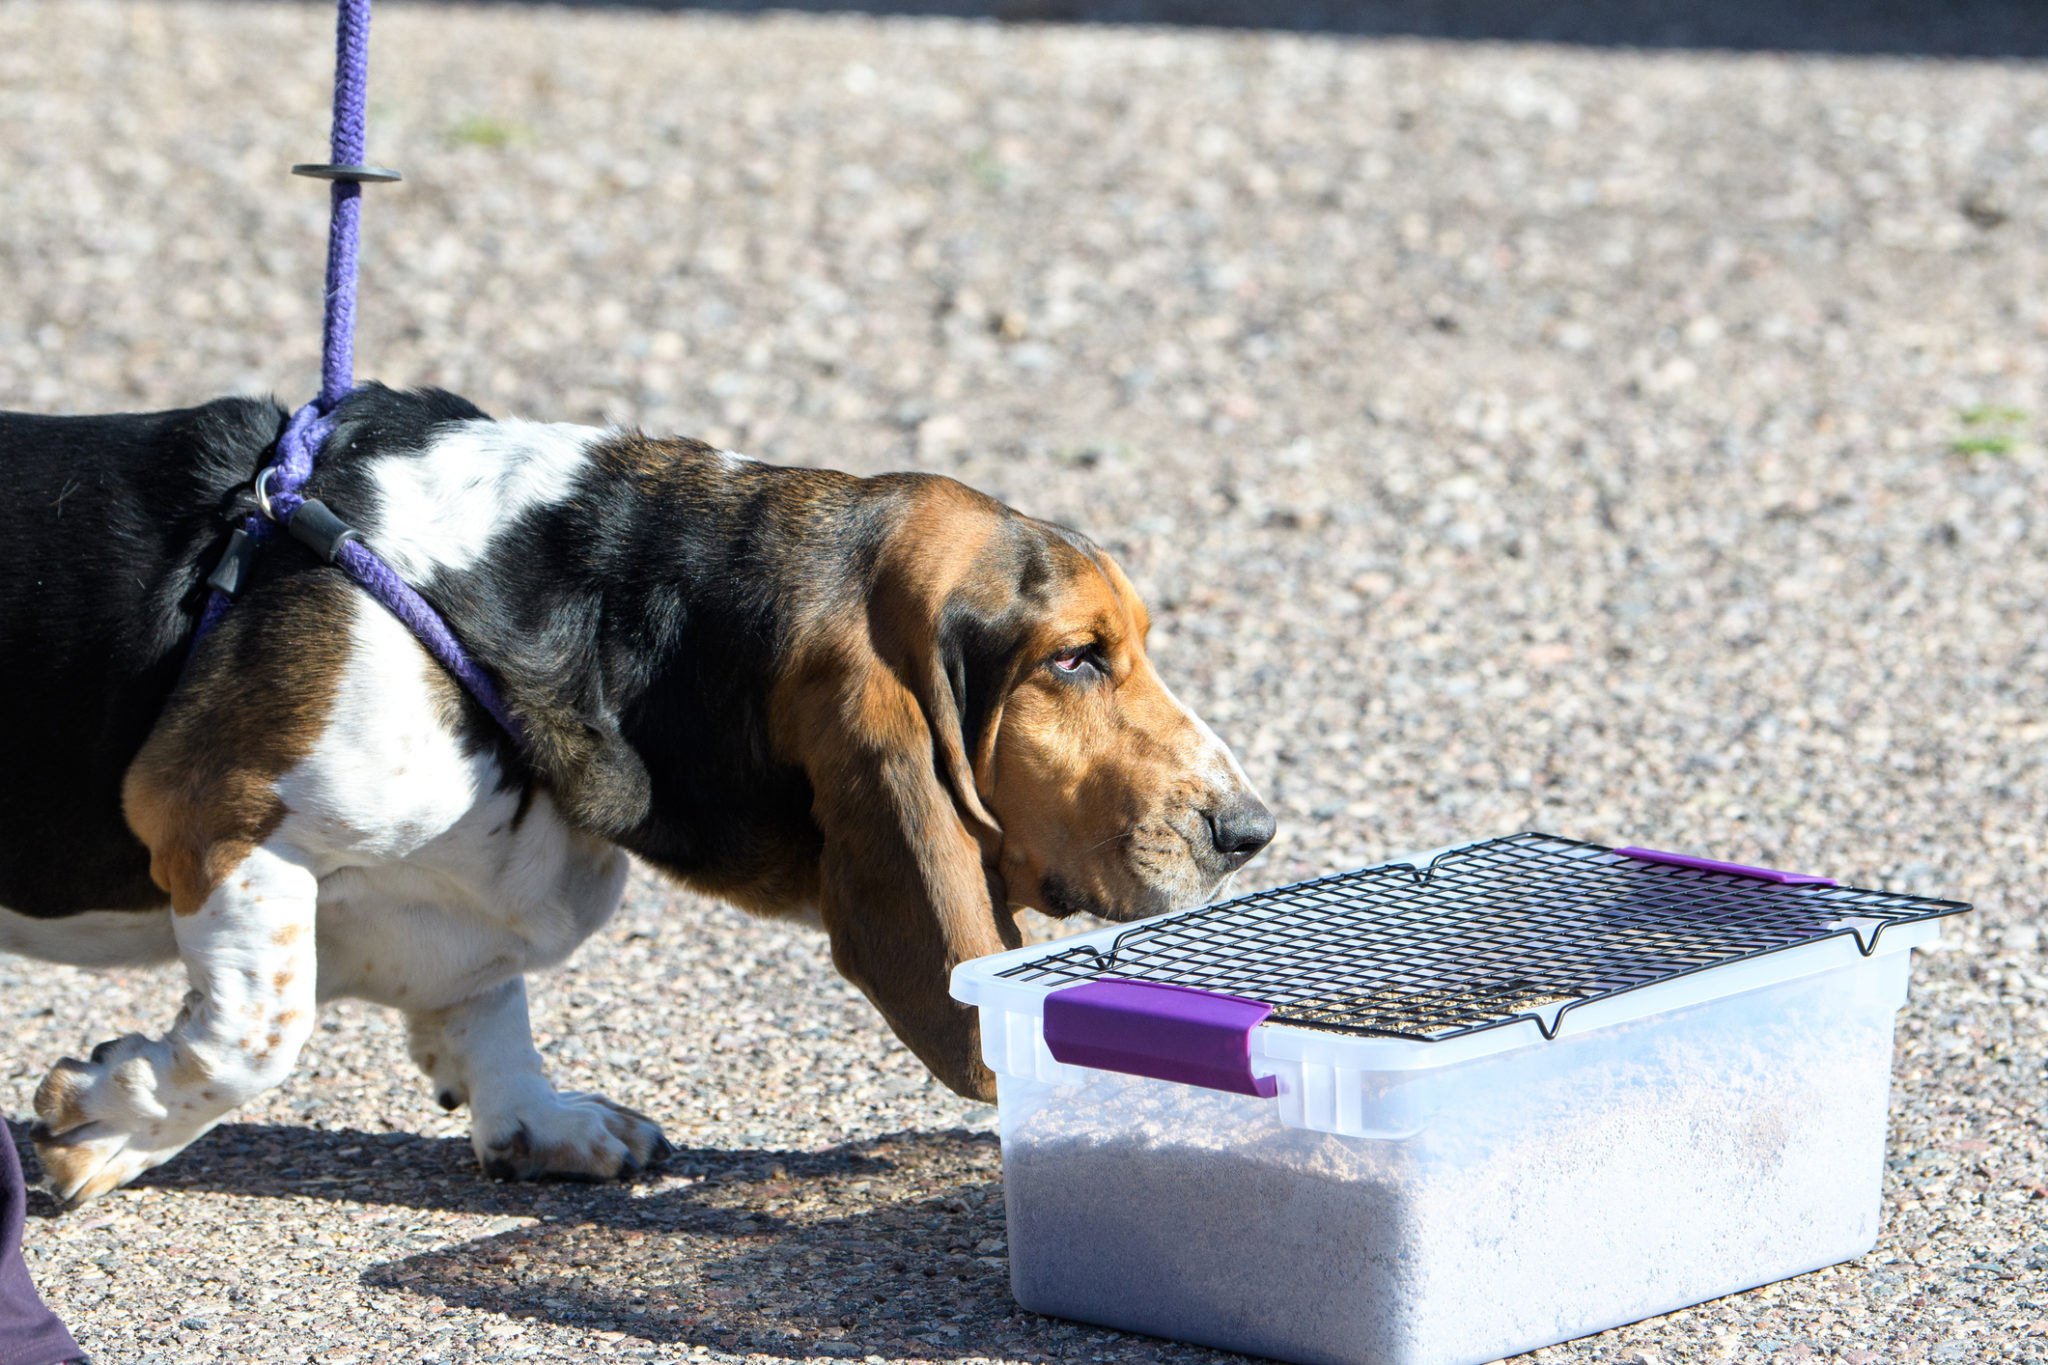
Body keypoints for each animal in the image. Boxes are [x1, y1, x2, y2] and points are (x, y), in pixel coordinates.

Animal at [0, 384, 1269, 1203]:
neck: (592, 602)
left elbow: (482, 1004)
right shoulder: (224, 821)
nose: (1248, 831)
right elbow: (255, 1036)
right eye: (1074, 659)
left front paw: (539, 1123)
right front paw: (104, 1129)